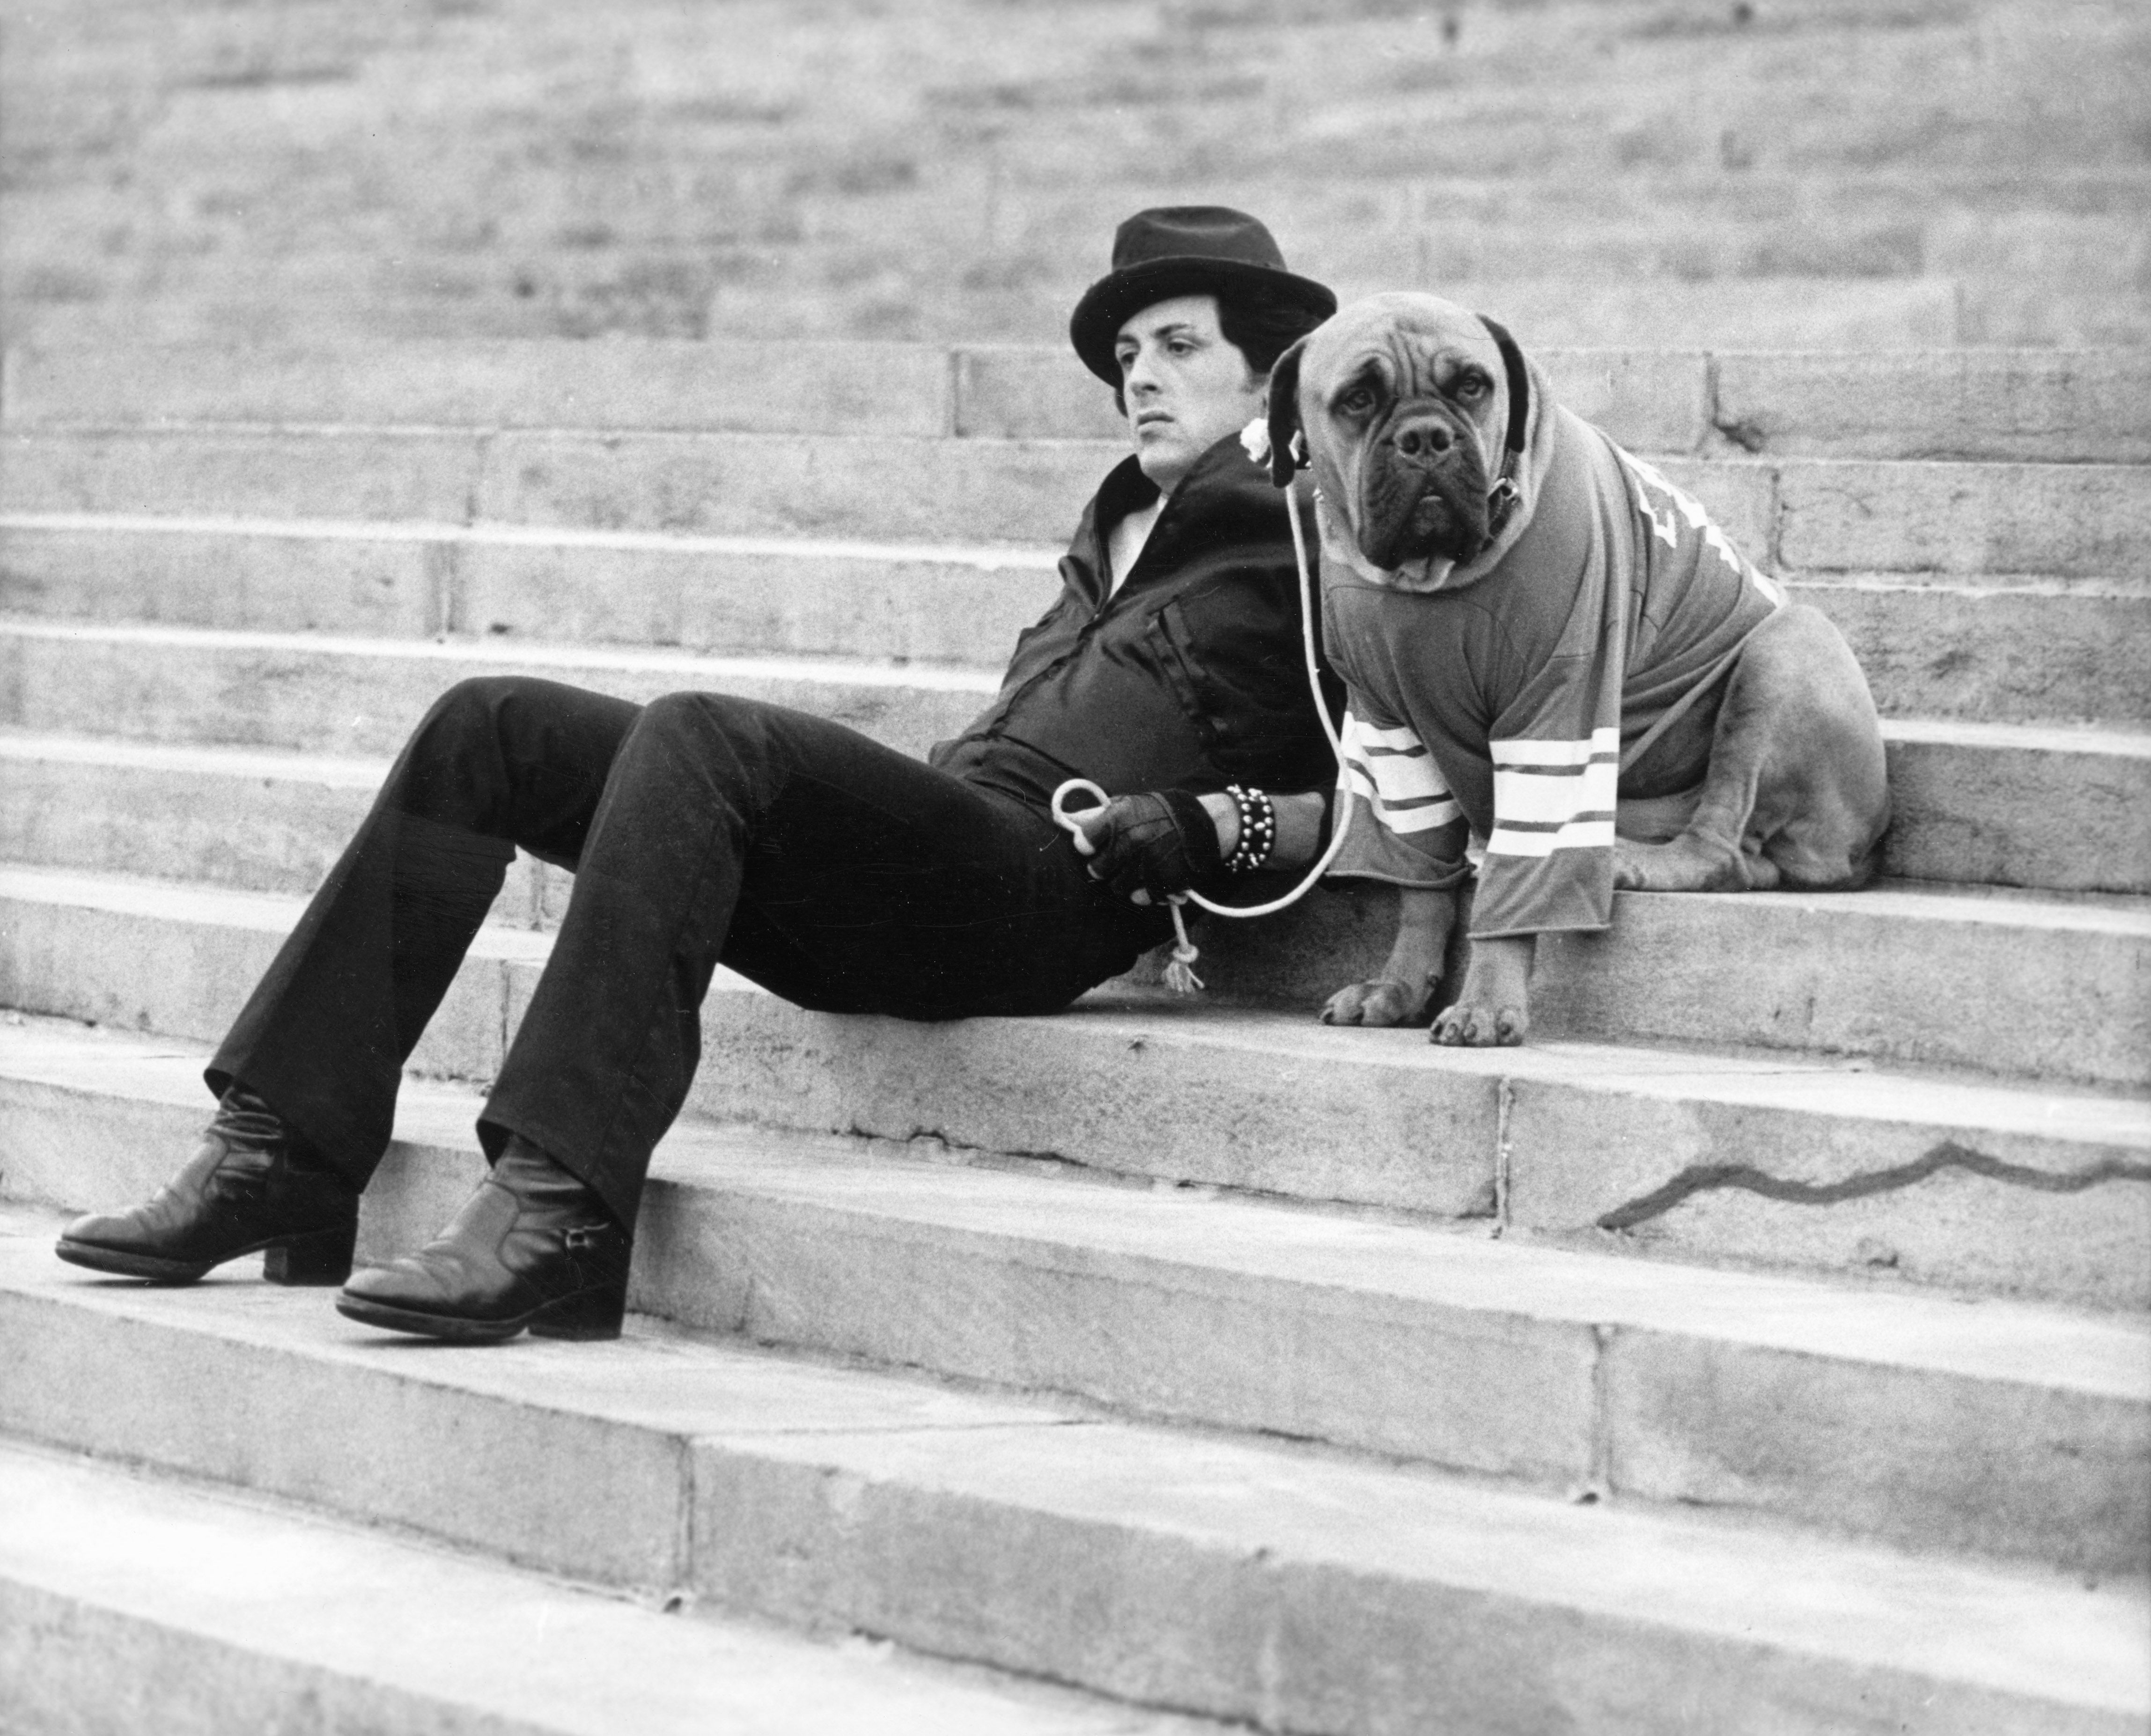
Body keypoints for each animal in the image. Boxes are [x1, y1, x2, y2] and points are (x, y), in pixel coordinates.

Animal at [1256, 297, 1884, 1045]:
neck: (1430, 582)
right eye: (1357, 399)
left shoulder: (1556, 712)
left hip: (1787, 647)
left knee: (1721, 847)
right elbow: (1420, 881)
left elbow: (1522, 877)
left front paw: (1486, 1004)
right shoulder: (1388, 728)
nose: (1425, 437)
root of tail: (1864, 846)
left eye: (1472, 386)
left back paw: (1631, 861)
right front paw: (1399, 986)